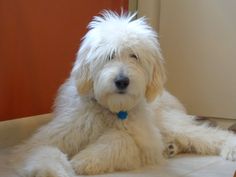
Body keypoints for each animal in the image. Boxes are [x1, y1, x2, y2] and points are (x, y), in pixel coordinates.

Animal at [10, 11, 236, 177]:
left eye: (134, 56)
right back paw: (171, 147)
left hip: (170, 122)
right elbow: (42, 150)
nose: (121, 81)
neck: (110, 109)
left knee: (207, 134)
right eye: (110, 55)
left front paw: (84, 160)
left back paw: (228, 147)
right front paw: (50, 170)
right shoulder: (51, 136)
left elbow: (119, 140)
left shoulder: (143, 144)